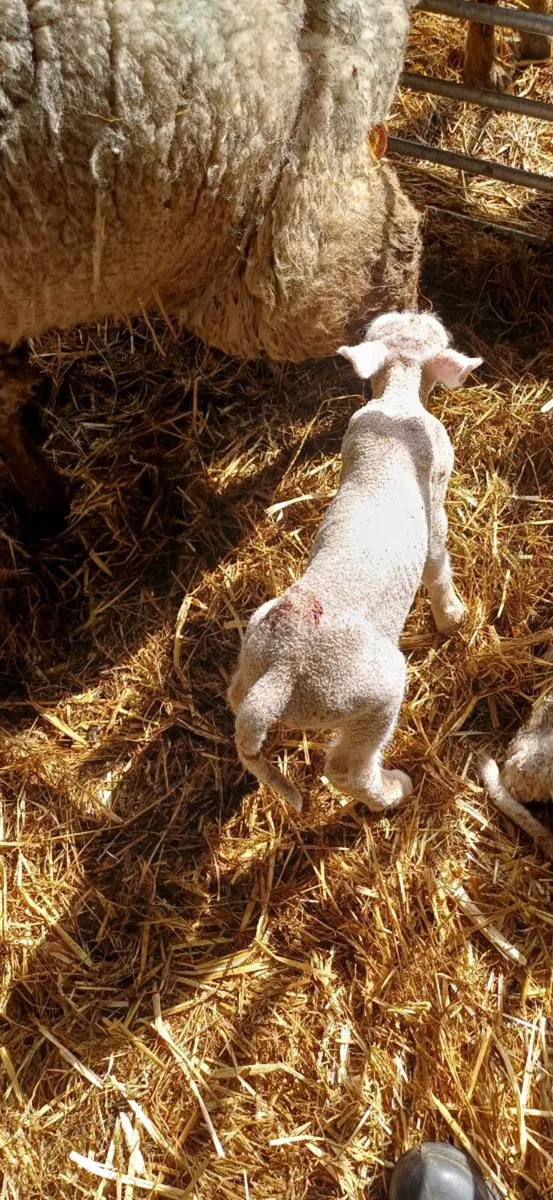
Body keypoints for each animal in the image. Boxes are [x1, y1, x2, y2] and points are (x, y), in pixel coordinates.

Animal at [228, 310, 482, 814]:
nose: (421, 310)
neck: (398, 400)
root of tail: (280, 677)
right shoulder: (438, 501)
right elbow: (437, 563)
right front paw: (453, 618)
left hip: (253, 654)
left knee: (234, 699)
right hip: (371, 695)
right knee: (348, 769)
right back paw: (394, 790)